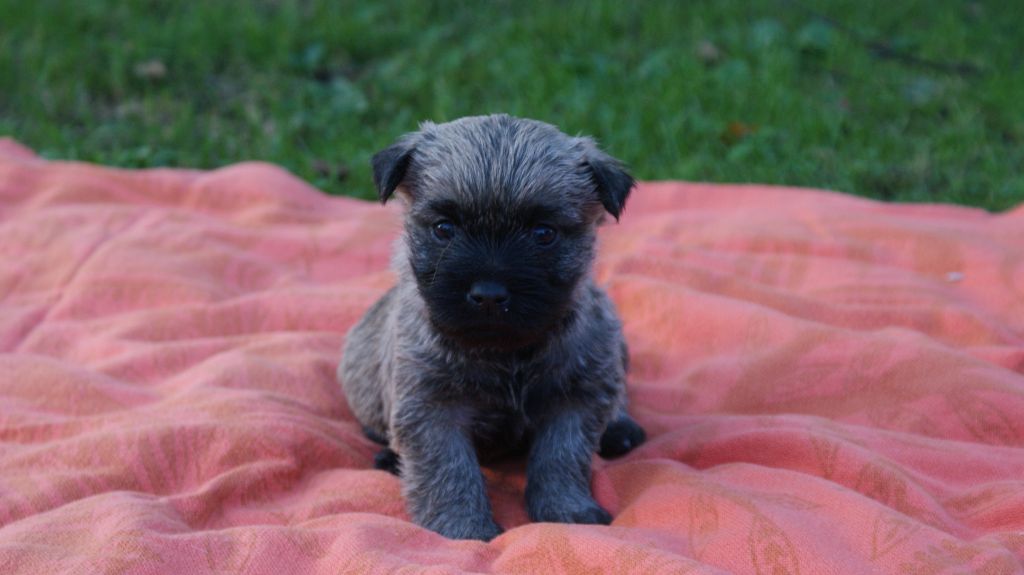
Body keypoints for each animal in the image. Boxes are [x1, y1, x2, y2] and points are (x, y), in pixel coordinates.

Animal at [338, 114, 646, 541]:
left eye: (544, 233)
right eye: (444, 228)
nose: (488, 294)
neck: (507, 352)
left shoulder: (575, 402)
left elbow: (561, 458)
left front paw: (566, 510)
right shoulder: (431, 410)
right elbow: (448, 470)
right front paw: (463, 527)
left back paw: (621, 428)